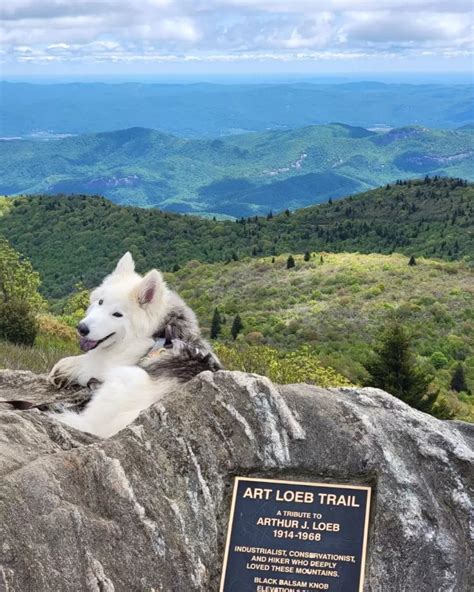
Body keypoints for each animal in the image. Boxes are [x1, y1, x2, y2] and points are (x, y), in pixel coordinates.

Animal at [34, 252, 221, 438]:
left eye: (118, 314)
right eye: (101, 302)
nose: (81, 328)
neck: (157, 334)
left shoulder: (108, 364)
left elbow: (81, 362)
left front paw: (62, 370)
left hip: (125, 376)